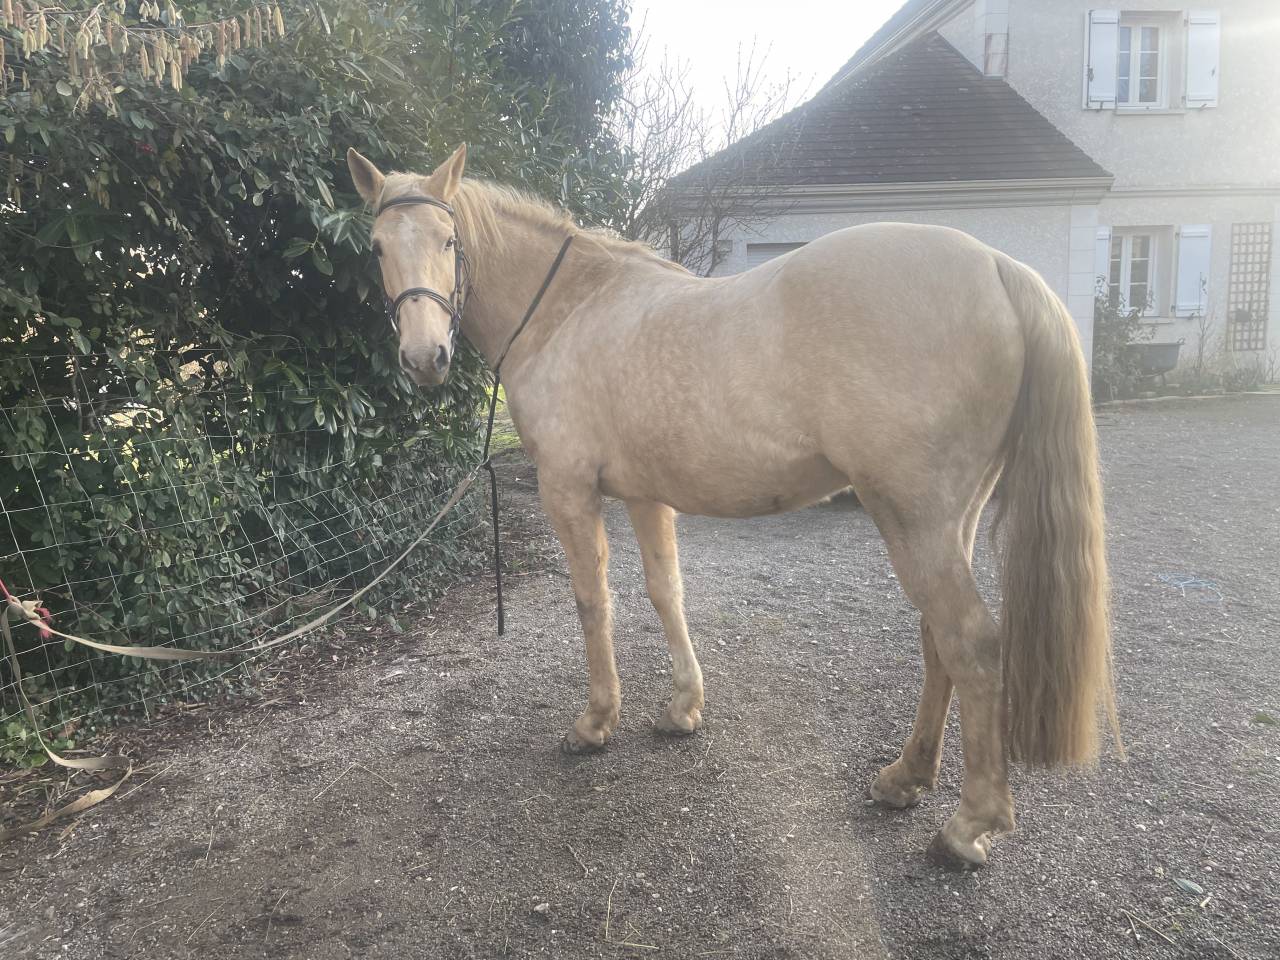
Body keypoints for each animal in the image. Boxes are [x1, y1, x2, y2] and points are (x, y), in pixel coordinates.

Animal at [345, 144, 1119, 868]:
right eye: (377, 247)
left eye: (449, 241)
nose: (425, 357)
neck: (568, 310)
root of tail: (997, 265)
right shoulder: (646, 496)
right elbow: (666, 591)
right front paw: (683, 708)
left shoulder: (568, 490)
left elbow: (594, 603)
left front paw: (596, 722)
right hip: (945, 520)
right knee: (940, 643)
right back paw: (906, 777)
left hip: (914, 518)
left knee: (972, 646)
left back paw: (967, 826)